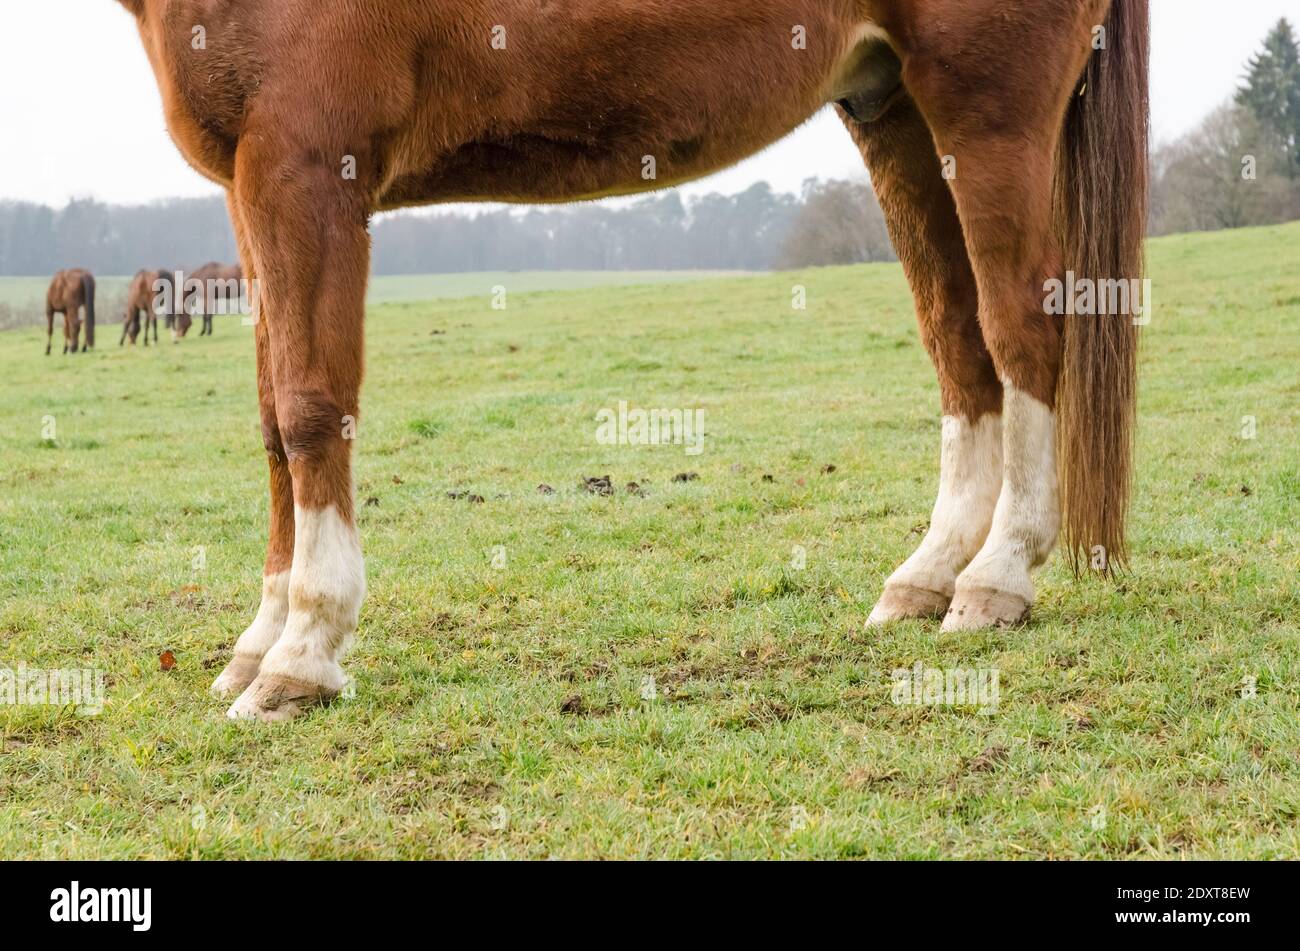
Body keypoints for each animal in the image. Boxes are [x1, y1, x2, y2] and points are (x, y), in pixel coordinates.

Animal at [111, 0, 1149, 722]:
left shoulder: (306, 166)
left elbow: (308, 406)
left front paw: (302, 658)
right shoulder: (252, 189)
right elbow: (270, 420)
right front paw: (259, 645)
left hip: (988, 112)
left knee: (1022, 334)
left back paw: (999, 577)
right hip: (891, 106)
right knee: (958, 344)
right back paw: (927, 577)